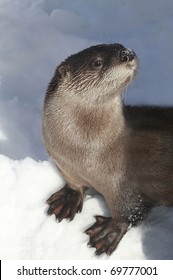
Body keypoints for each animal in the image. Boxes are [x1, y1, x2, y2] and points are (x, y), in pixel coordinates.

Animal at [42, 43, 173, 256]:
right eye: (97, 62)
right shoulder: (64, 164)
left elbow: (131, 211)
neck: (87, 154)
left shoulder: (123, 184)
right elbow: (73, 184)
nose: (127, 54)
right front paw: (67, 199)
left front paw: (107, 232)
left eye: (123, 47)